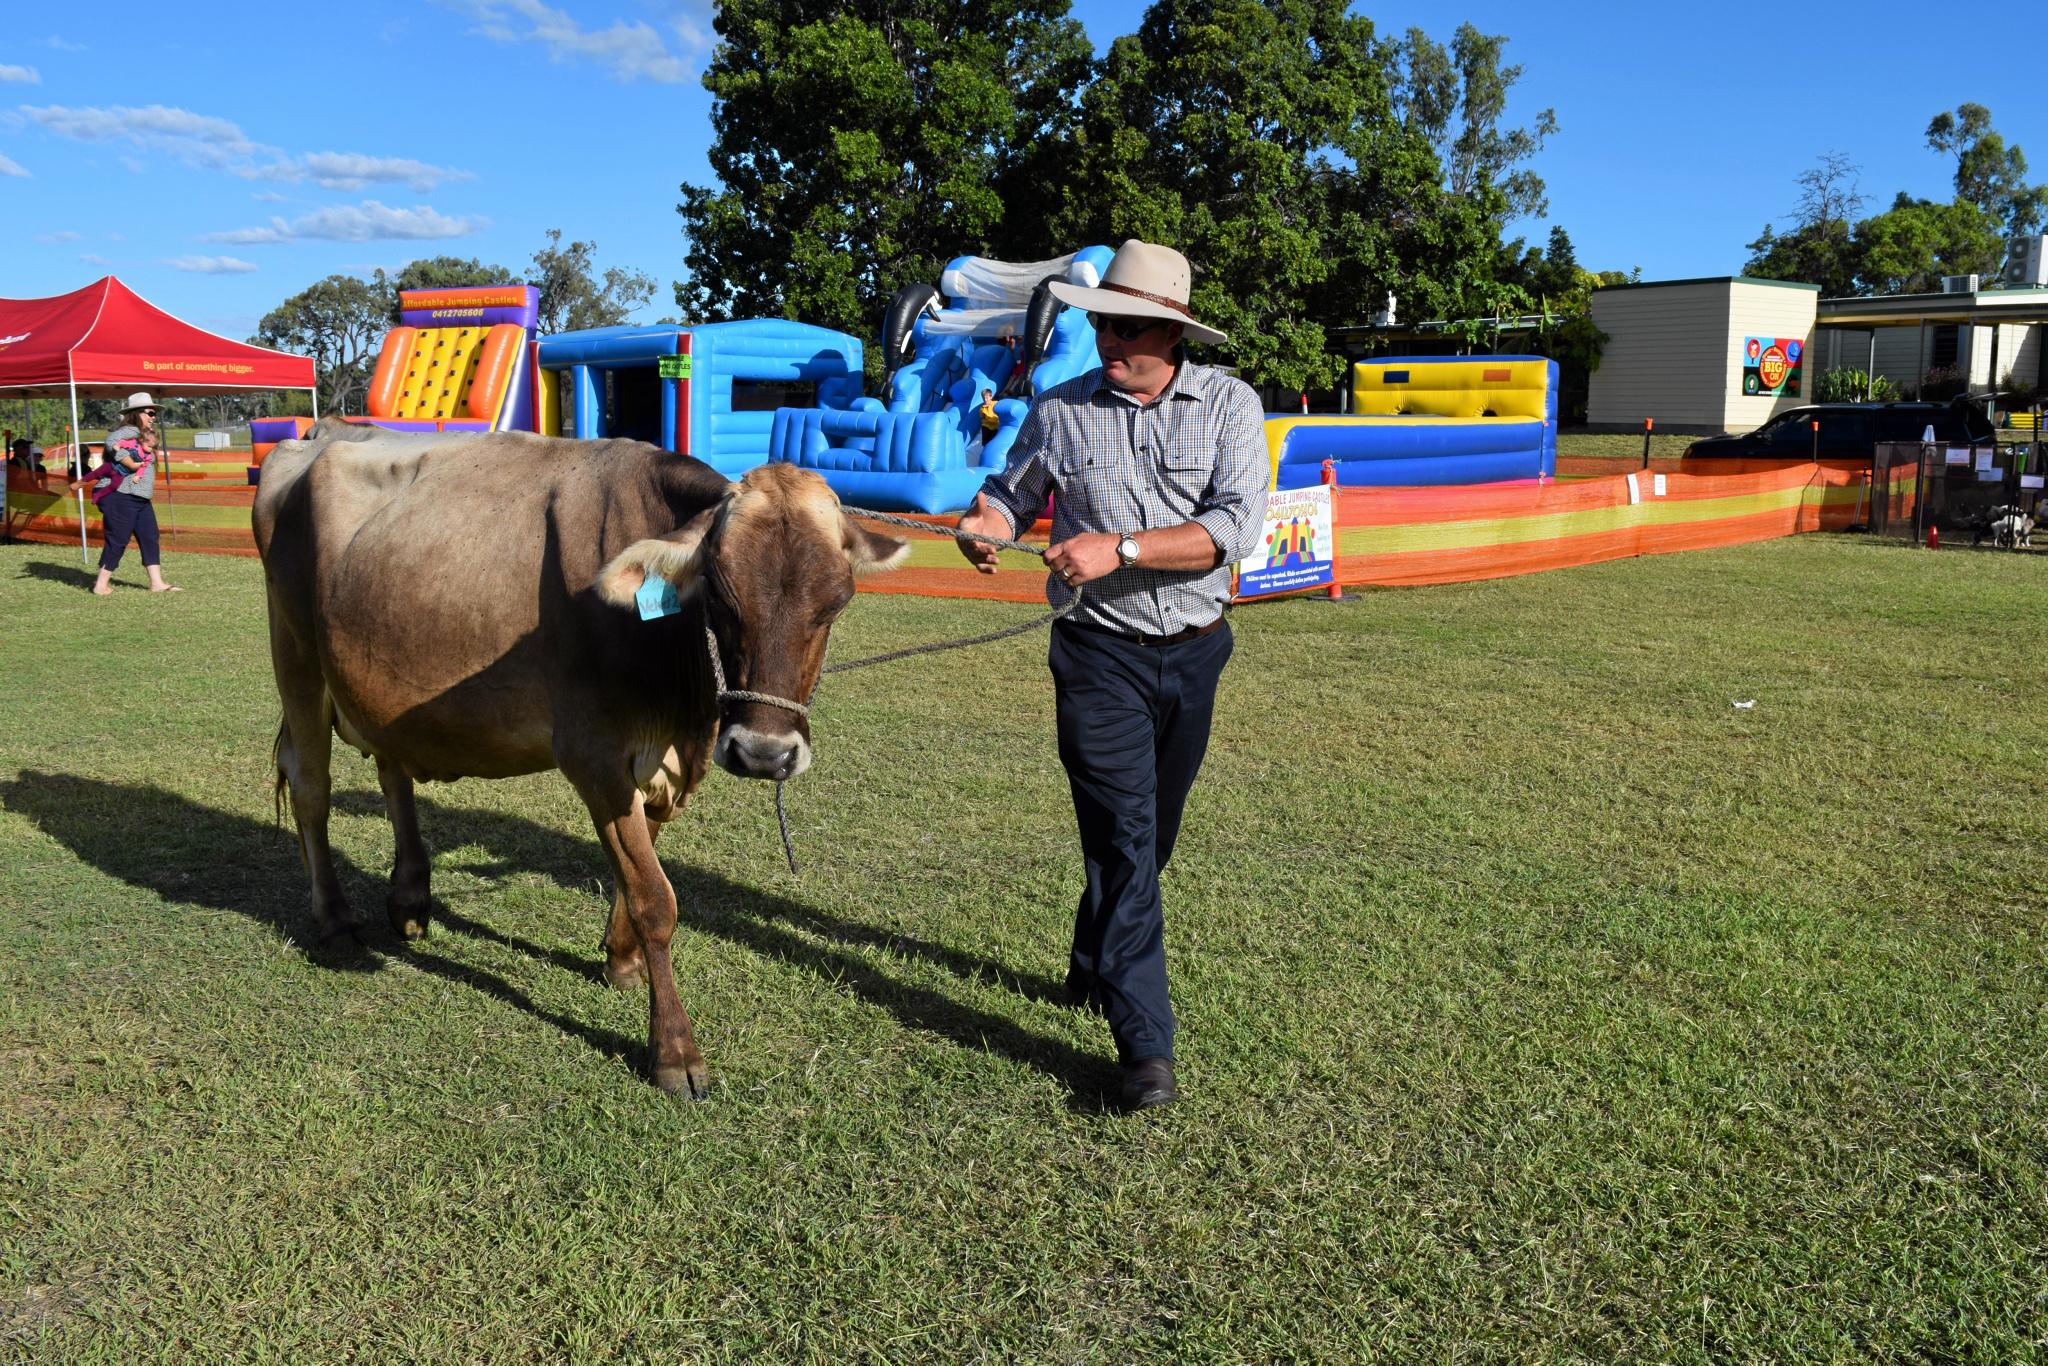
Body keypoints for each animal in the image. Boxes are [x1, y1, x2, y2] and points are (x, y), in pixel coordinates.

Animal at [253, 421, 905, 1097]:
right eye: (722, 600)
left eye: (836, 604)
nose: (762, 752)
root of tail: (323, 432)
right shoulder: (593, 756)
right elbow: (655, 899)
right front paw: (673, 1050)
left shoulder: (661, 763)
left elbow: (634, 873)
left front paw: (621, 960)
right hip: (296, 657)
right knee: (311, 789)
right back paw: (335, 920)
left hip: (381, 681)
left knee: (393, 769)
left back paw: (409, 901)